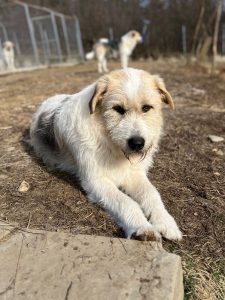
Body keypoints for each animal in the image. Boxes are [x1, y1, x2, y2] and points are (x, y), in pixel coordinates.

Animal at [29, 68, 182, 241]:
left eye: (146, 108)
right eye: (118, 109)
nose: (137, 143)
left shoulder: (134, 174)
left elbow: (152, 194)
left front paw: (166, 222)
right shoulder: (96, 181)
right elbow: (126, 202)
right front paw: (142, 227)